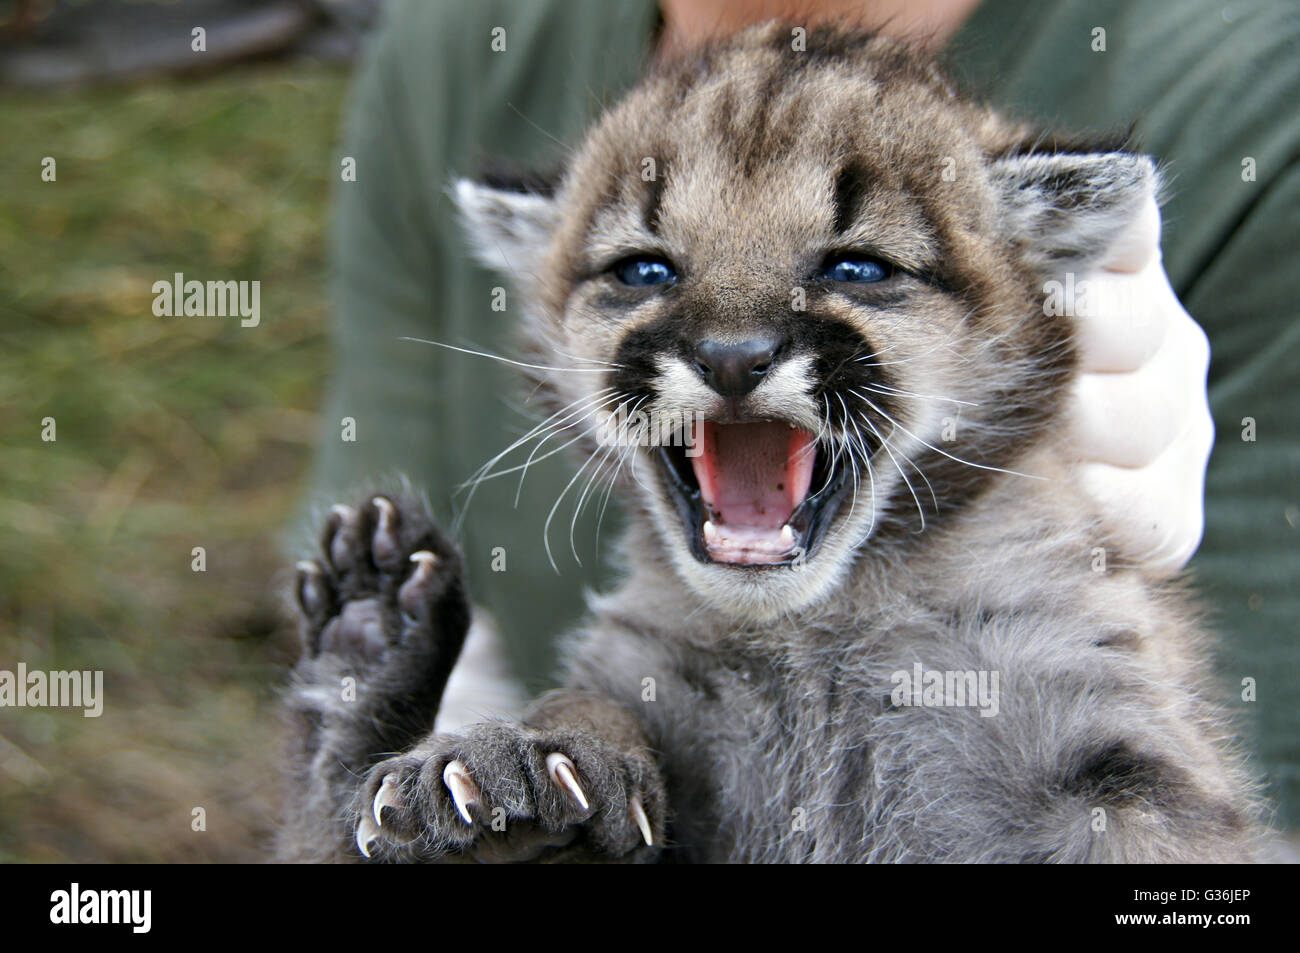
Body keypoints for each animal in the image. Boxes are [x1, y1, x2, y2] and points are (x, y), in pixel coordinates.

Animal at [279, 24, 1263, 863]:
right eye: (644, 269)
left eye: (856, 266)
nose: (732, 354)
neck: (812, 631)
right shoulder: (645, 674)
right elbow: (590, 698)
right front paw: (521, 752)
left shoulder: (1114, 747)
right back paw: (368, 639)